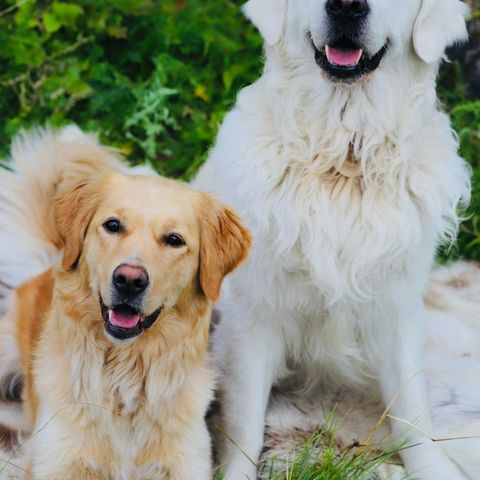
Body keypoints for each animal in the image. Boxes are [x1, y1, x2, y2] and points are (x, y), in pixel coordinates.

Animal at [0, 127, 251, 480]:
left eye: (174, 240)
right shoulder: (57, 461)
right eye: (113, 225)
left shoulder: (186, 463)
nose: (129, 280)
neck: (125, 379)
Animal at [193, 0, 470, 480]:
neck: (344, 153)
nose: (347, 6)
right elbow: (245, 421)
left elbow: (412, 410)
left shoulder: (397, 307)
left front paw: (433, 468)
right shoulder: (254, 314)